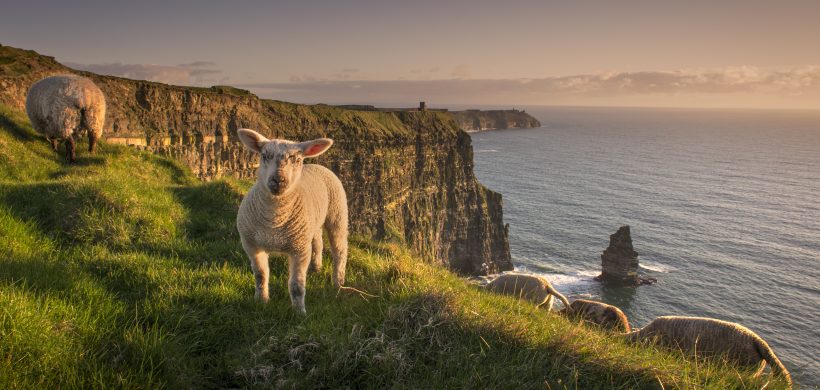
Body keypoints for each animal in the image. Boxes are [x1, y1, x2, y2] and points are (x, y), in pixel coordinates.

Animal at [237, 129, 352, 314]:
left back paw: (338, 282)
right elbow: (261, 275)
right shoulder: (251, 245)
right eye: (264, 155)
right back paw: (316, 267)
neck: (274, 221)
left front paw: (299, 312)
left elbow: (297, 285)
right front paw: (261, 300)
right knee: (318, 242)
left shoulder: (299, 250)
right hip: (310, 225)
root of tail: (316, 165)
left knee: (340, 250)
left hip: (337, 214)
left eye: (297, 160)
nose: (278, 180)